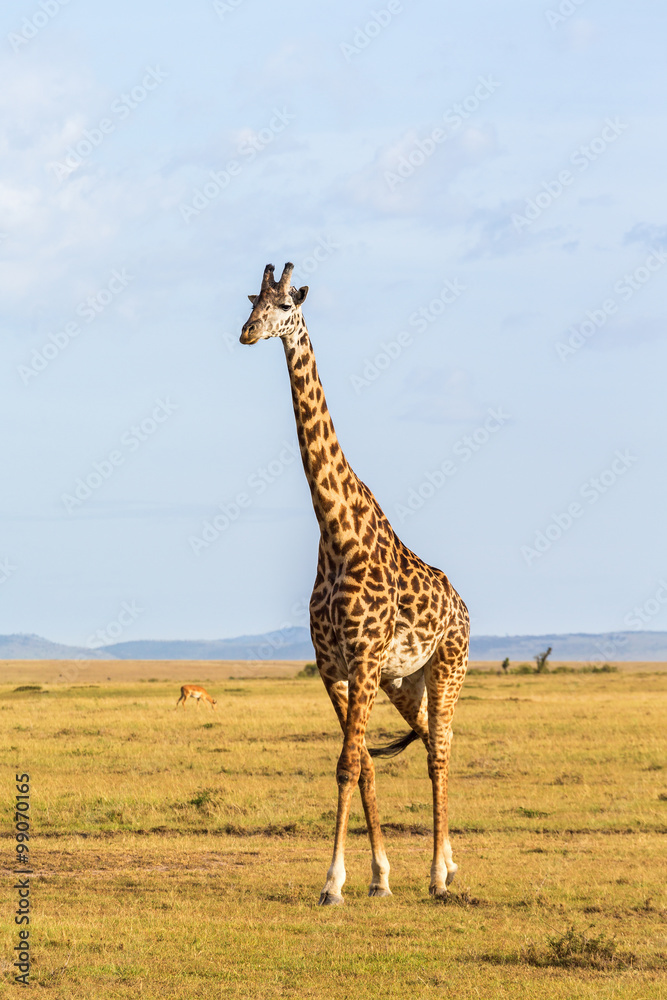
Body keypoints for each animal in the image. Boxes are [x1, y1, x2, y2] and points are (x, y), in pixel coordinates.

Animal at [240, 262, 470, 904]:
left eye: (286, 306)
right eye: (252, 300)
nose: (247, 333)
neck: (336, 529)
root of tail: (464, 606)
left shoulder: (364, 659)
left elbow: (347, 763)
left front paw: (332, 884)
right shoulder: (335, 667)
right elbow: (361, 761)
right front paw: (378, 876)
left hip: (447, 667)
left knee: (441, 752)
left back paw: (440, 877)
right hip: (404, 681)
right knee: (427, 741)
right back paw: (444, 866)